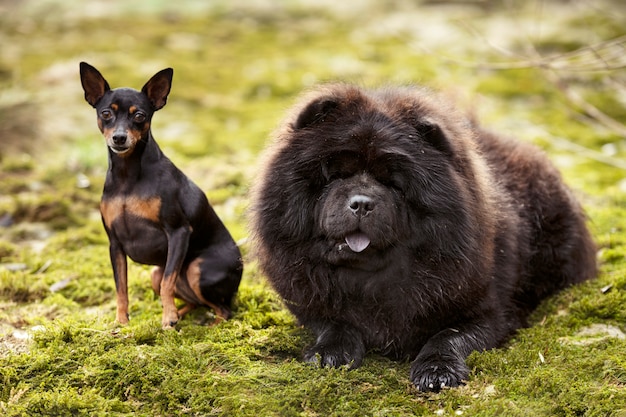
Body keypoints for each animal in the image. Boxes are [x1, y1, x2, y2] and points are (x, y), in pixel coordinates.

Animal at [249, 83, 596, 390]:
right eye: (336, 175)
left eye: (392, 182)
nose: (361, 203)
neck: (370, 280)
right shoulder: (308, 298)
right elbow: (332, 322)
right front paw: (329, 353)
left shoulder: (488, 311)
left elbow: (449, 336)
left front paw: (436, 371)